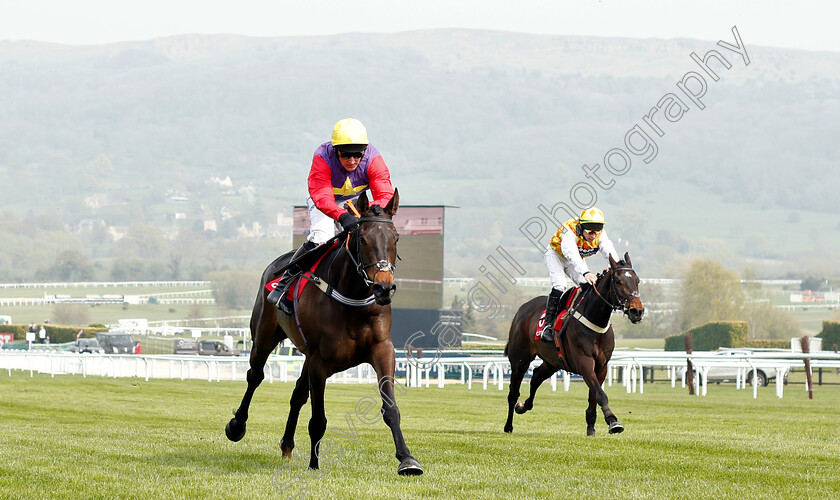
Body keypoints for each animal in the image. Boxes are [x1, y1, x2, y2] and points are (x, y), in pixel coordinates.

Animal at [225, 190, 424, 476]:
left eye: (395, 238)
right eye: (362, 238)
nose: (384, 288)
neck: (353, 298)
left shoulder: (382, 349)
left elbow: (390, 408)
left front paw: (407, 460)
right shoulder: (320, 360)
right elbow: (318, 418)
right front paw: (314, 464)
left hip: (305, 355)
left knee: (297, 394)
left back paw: (287, 446)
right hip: (263, 336)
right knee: (255, 376)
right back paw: (236, 425)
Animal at [506, 252, 644, 436]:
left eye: (637, 280)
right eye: (618, 281)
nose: (637, 311)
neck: (595, 320)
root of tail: (522, 309)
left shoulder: (601, 366)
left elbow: (594, 396)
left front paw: (591, 427)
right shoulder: (584, 362)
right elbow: (600, 394)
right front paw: (613, 421)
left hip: (553, 362)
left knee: (535, 377)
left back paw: (523, 406)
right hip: (519, 359)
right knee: (513, 392)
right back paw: (508, 426)